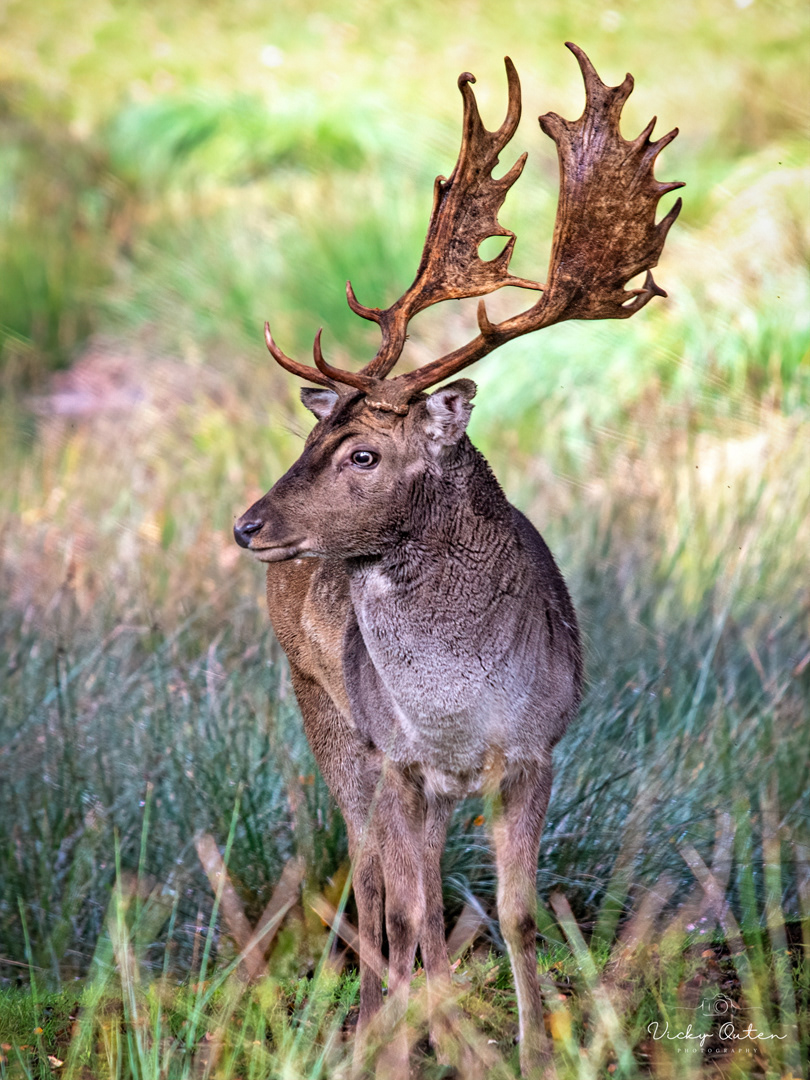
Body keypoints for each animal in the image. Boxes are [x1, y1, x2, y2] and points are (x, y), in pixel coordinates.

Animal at [234, 43, 682, 1077]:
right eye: (313, 441)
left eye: (363, 454)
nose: (249, 526)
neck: (457, 708)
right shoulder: (402, 758)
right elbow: (411, 910)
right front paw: (417, 1042)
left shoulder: (535, 747)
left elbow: (514, 913)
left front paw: (531, 1047)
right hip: (323, 709)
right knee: (371, 880)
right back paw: (379, 1024)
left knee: (404, 888)